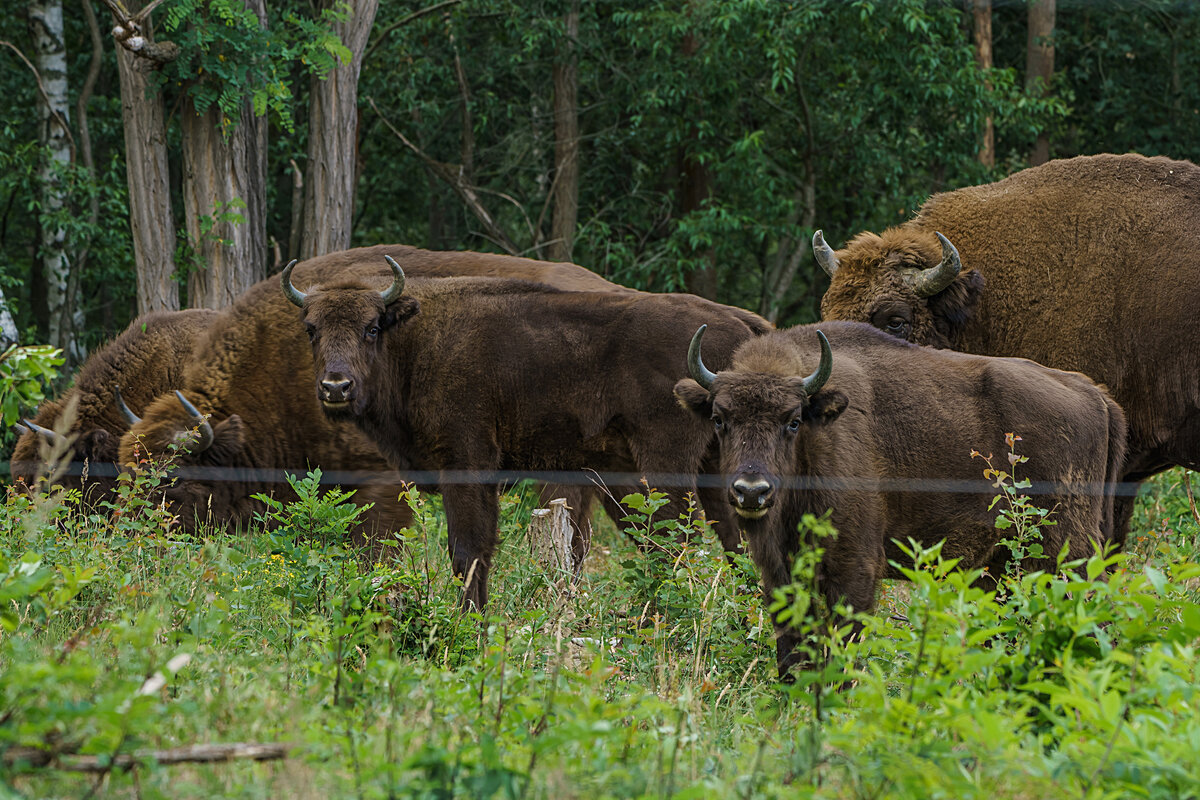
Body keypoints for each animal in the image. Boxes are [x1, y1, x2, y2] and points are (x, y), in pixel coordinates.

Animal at [279, 260, 768, 609]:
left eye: (371, 327)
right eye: (311, 329)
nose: (336, 387)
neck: (414, 341)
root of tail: (738, 322)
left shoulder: (467, 466)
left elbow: (468, 550)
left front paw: (470, 622)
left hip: (666, 462)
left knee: (676, 538)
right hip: (713, 465)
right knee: (733, 539)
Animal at [676, 319, 1123, 676]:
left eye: (793, 420)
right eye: (719, 418)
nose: (751, 491)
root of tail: (1094, 394)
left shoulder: (853, 568)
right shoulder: (780, 571)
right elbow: (791, 649)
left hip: (1066, 549)